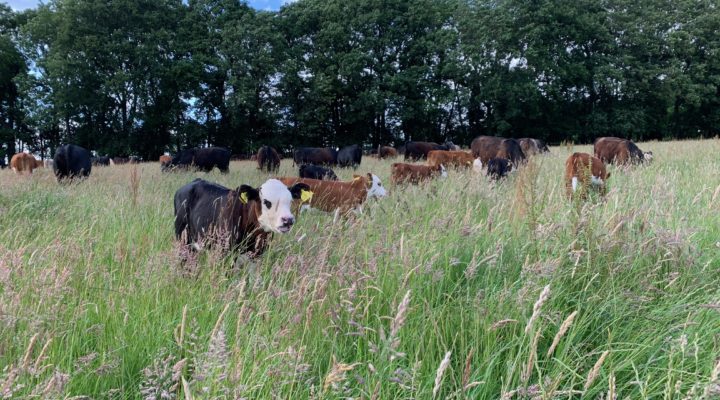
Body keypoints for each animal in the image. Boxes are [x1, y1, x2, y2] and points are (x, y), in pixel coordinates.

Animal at [175, 179, 312, 256]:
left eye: (290, 201)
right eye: (266, 202)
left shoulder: (258, 253)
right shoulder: (226, 251)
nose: (288, 220)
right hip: (182, 237)